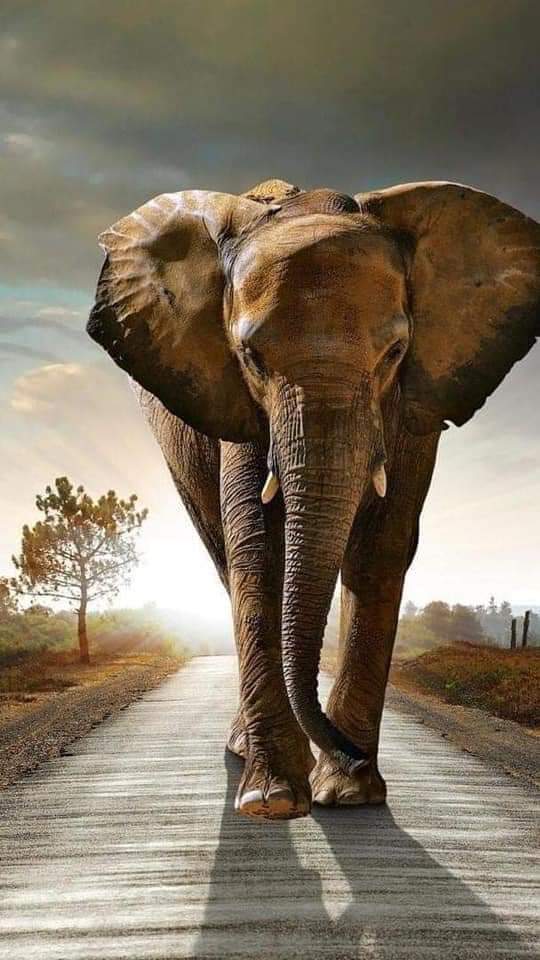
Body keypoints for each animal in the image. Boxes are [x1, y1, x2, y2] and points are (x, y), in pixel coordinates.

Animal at [88, 177, 539, 821]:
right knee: (224, 556)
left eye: (395, 352)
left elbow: (381, 547)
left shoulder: (416, 402)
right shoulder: (236, 401)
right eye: (250, 357)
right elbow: (257, 548)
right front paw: (274, 800)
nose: (347, 749)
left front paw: (349, 795)